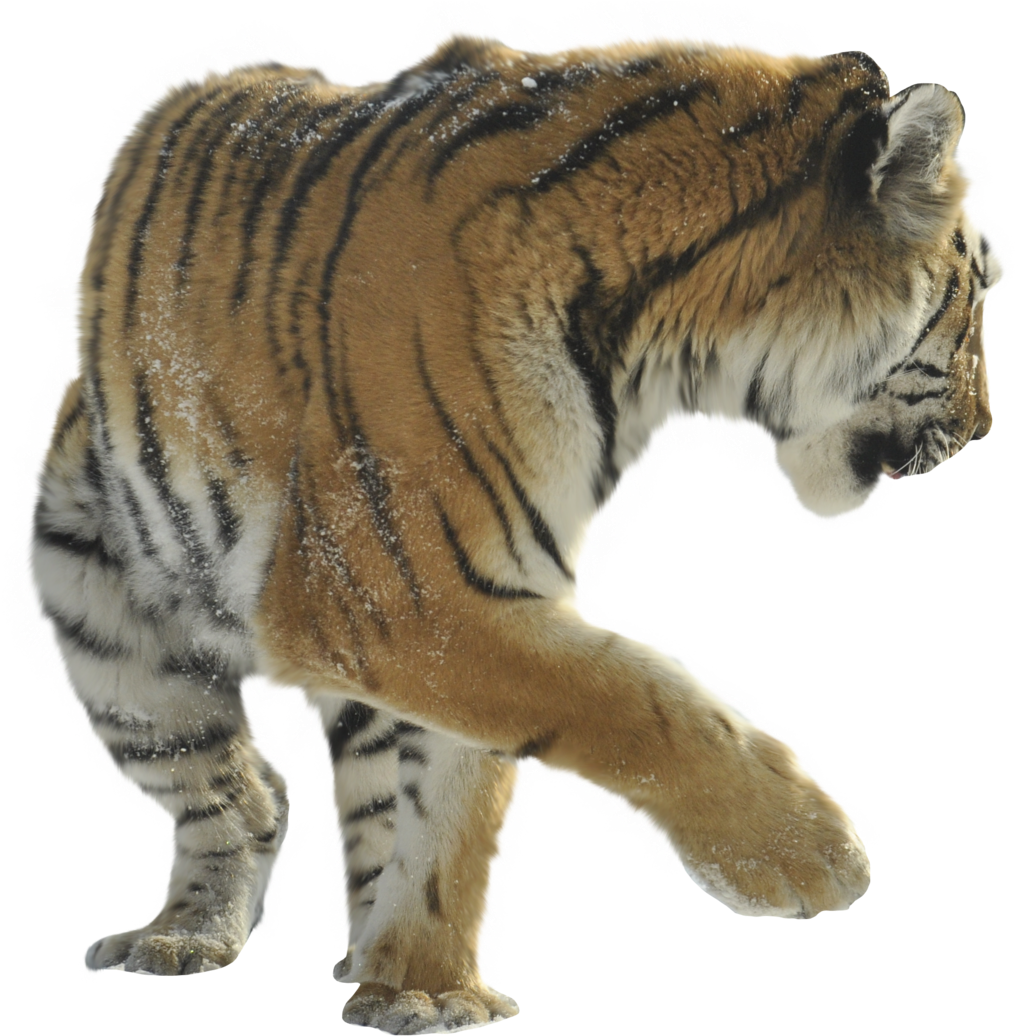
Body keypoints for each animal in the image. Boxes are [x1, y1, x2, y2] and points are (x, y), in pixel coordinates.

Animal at [22, 12, 1004, 1035]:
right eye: (977, 292)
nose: (982, 430)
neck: (662, 348)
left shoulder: (481, 588)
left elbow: (459, 802)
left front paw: (425, 988)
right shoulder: (403, 592)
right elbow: (629, 700)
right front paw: (810, 852)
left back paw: (364, 954)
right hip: (99, 622)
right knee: (238, 798)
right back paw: (182, 939)